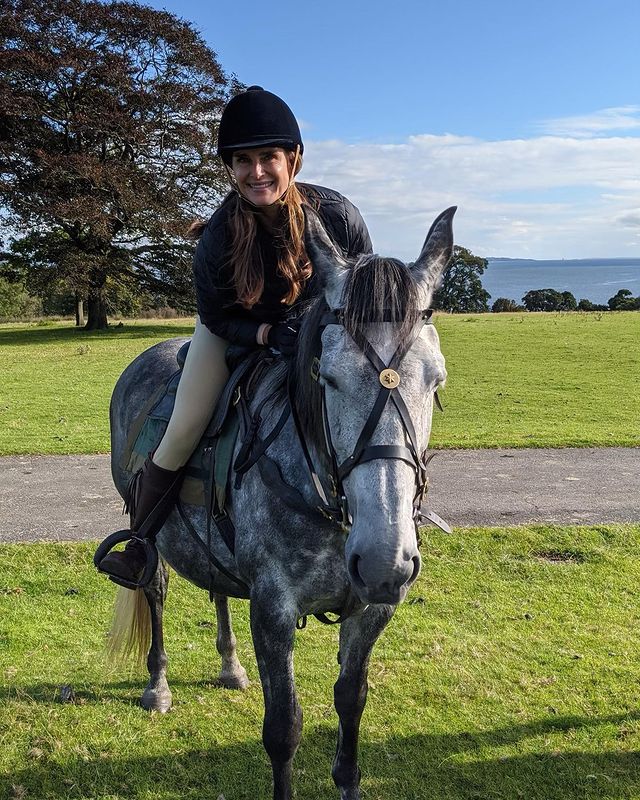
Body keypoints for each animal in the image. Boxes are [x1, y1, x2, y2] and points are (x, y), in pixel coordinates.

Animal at [106, 206, 455, 800]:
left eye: (437, 381)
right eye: (327, 377)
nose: (383, 561)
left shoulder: (374, 609)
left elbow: (351, 700)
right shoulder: (273, 609)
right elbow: (284, 728)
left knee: (218, 589)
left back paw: (229, 667)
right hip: (146, 530)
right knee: (154, 586)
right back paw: (158, 684)